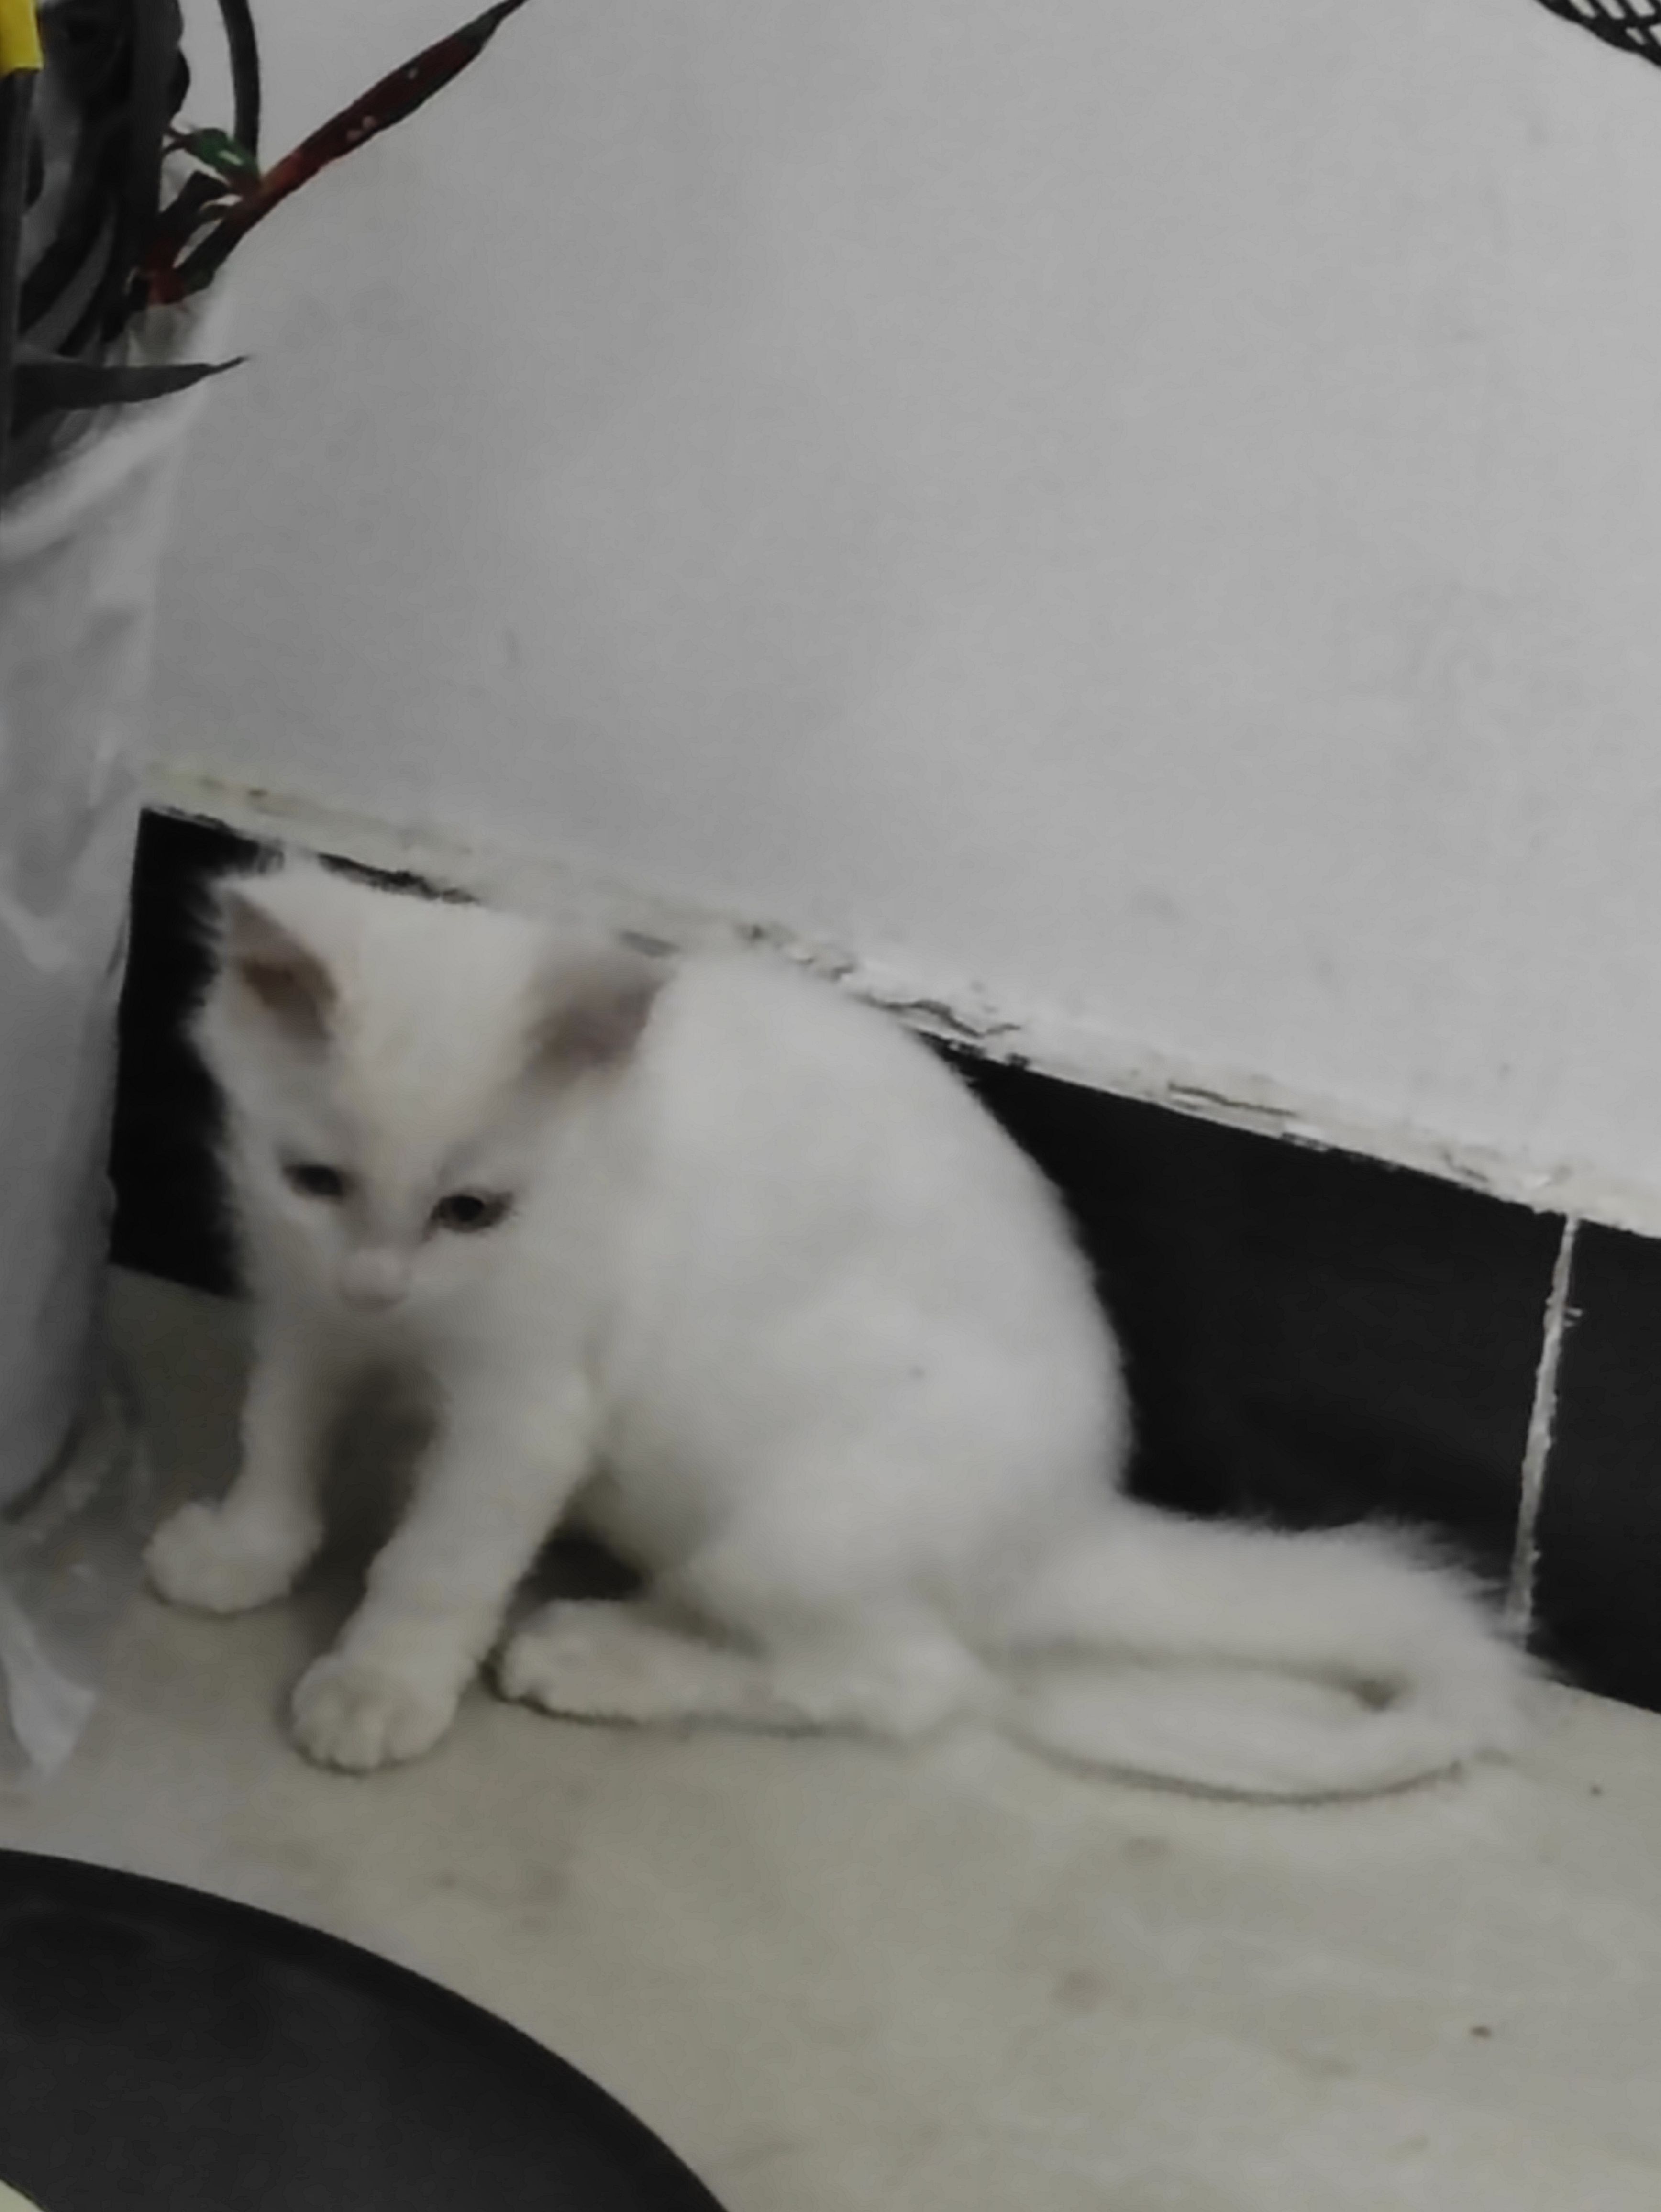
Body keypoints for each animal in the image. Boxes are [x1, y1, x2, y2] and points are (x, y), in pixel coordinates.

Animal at [145, 856, 1528, 1795]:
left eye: (473, 1210)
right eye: (315, 1181)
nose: (383, 1284)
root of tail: (1064, 1522)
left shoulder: (528, 1402)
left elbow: (439, 1558)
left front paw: (379, 1683)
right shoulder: (301, 1302)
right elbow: (279, 1429)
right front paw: (248, 1548)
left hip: (787, 1524)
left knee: (906, 1683)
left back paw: (605, 1658)